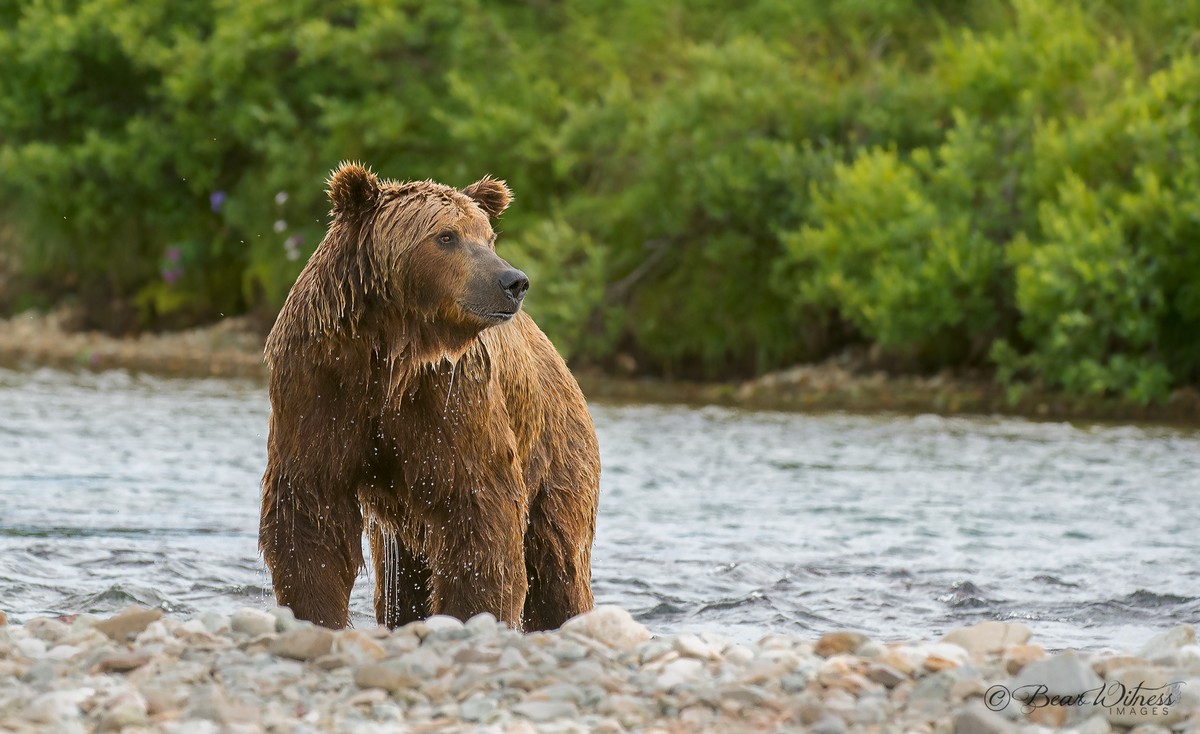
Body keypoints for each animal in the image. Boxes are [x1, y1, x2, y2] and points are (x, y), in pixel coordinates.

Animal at [260, 161, 600, 628]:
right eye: (446, 236)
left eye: (488, 236)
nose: (513, 281)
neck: (391, 348)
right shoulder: (319, 384)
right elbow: (311, 507)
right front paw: (316, 611)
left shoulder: (452, 397)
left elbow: (479, 513)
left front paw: (471, 612)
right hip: (402, 529)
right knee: (405, 578)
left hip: (556, 456)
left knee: (558, 566)